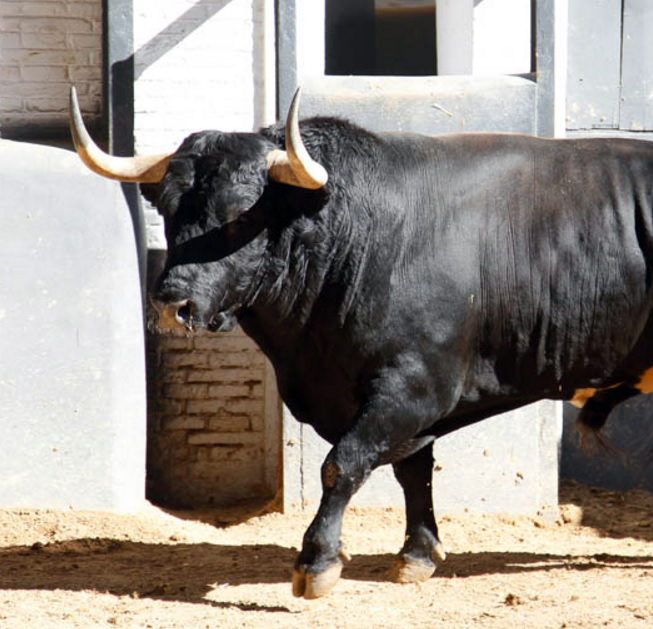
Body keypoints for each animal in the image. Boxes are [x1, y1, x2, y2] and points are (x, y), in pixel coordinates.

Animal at [71, 95, 652, 596]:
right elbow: (411, 470)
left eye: (242, 215)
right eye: (168, 211)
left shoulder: (410, 386)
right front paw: (417, 555)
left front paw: (317, 563)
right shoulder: (394, 401)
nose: (172, 304)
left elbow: (342, 464)